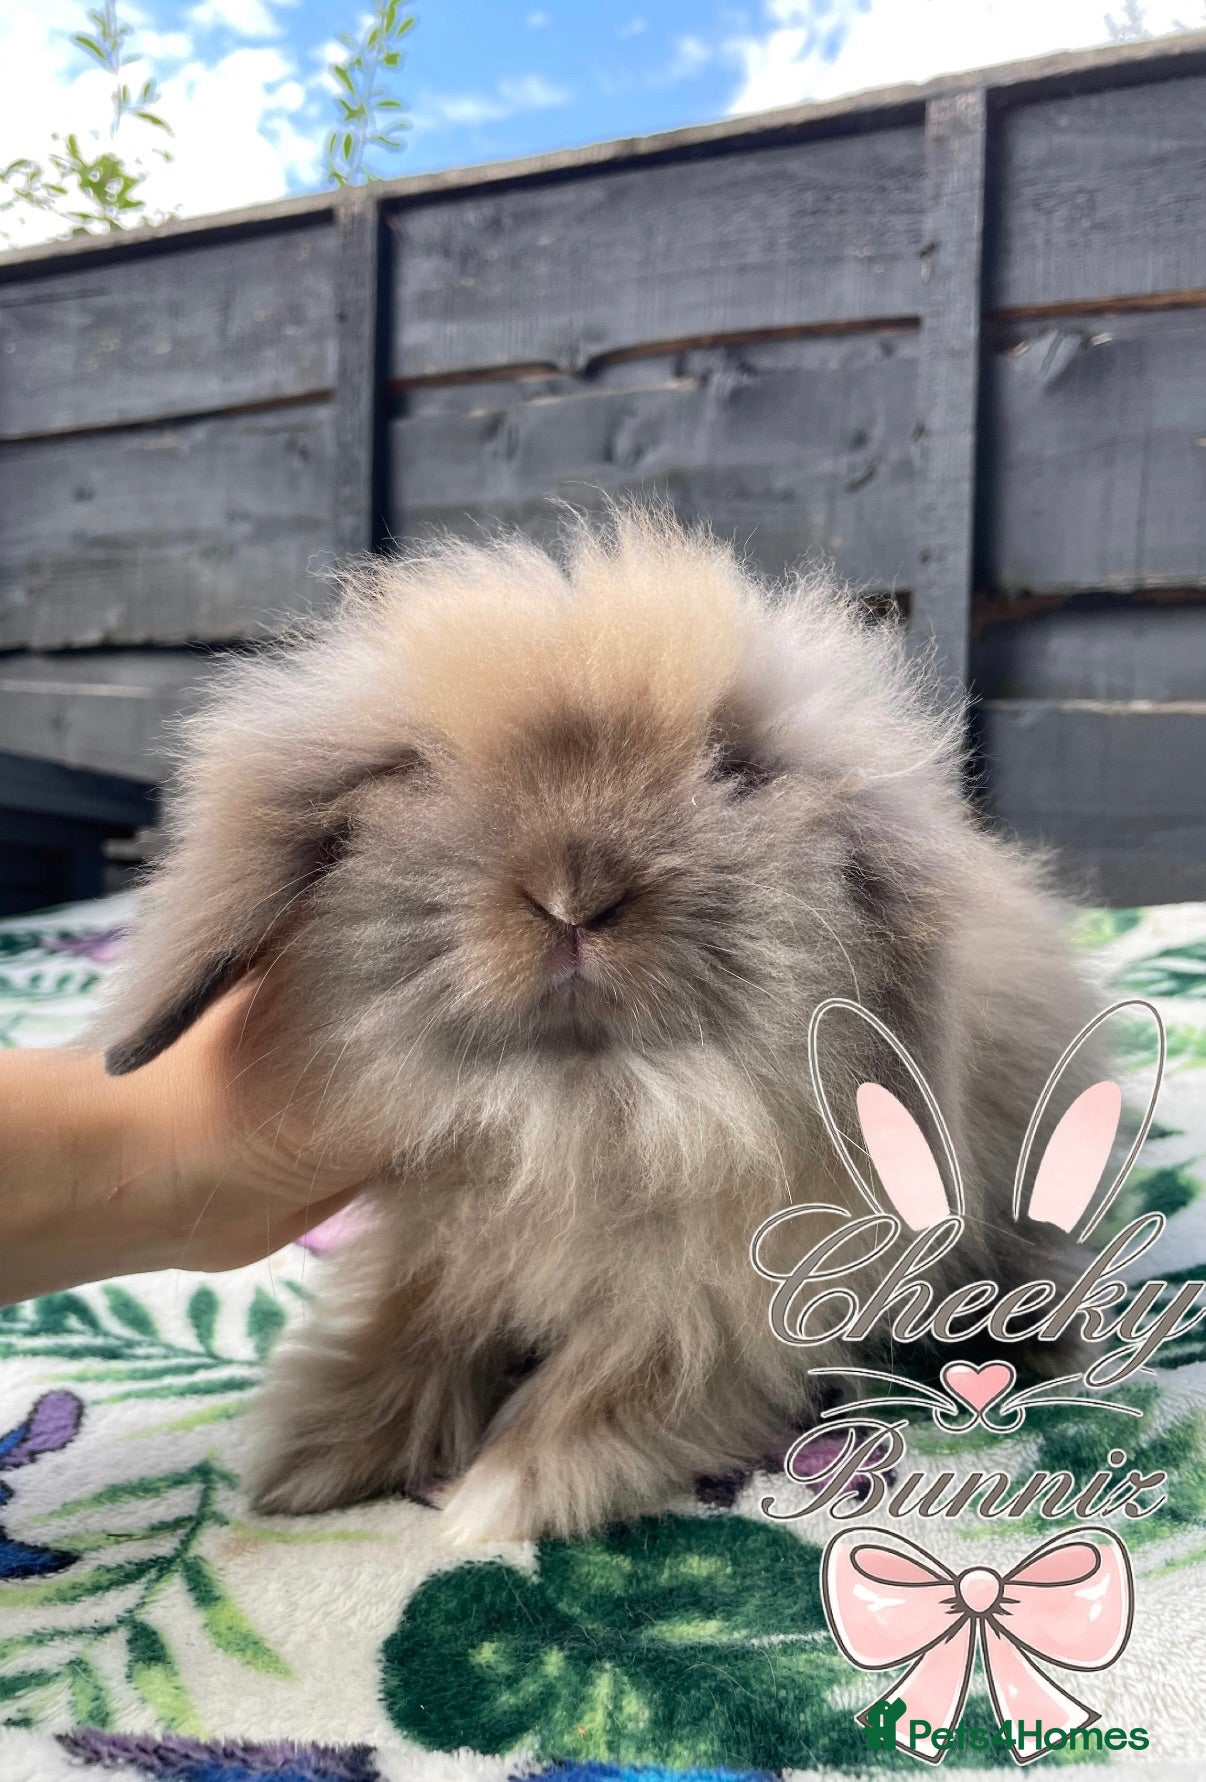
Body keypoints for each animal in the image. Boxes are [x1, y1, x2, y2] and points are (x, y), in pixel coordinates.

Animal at [98, 503, 1103, 1544]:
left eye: (735, 769)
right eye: (418, 772)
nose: (573, 893)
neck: (586, 1104)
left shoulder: (712, 1314)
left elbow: (605, 1388)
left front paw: (491, 1501)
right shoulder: (441, 1254)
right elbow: (401, 1330)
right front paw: (311, 1460)